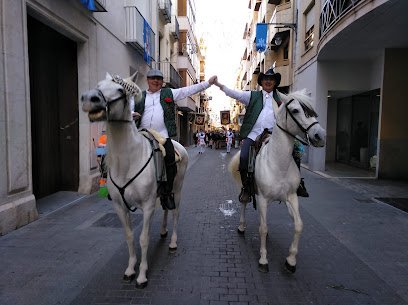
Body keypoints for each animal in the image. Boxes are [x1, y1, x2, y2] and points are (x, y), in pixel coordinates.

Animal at [81, 72, 190, 286]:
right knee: (166, 208)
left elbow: (143, 239)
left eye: (120, 90)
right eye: (98, 85)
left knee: (175, 212)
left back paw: (173, 241)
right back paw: (163, 231)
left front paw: (142, 275)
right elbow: (130, 237)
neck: (128, 160)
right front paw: (131, 269)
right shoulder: (120, 207)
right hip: (164, 193)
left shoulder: (147, 206)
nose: (91, 99)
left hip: (178, 189)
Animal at [230, 89, 326, 272]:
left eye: (312, 110)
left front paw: (291, 260)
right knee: (244, 202)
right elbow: (262, 228)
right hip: (249, 192)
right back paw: (241, 226)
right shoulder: (261, 198)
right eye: (295, 110)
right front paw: (263, 259)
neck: (277, 163)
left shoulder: (291, 197)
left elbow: (298, 225)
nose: (320, 135)